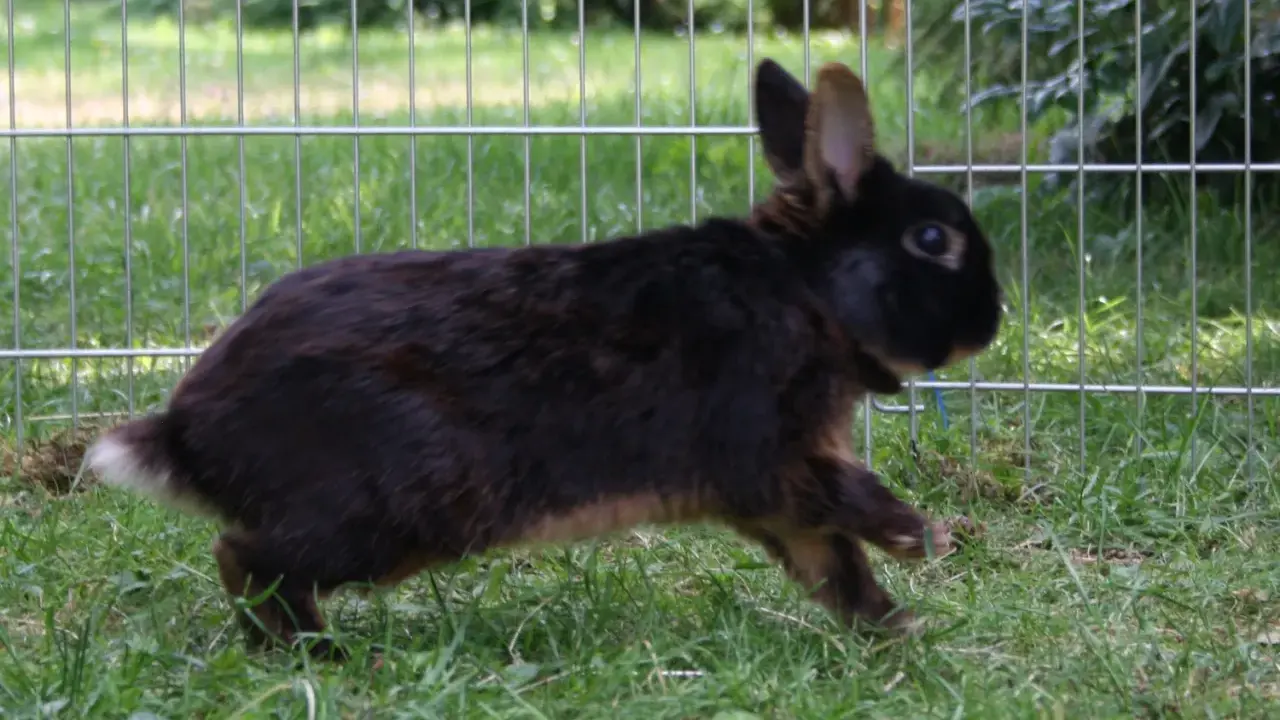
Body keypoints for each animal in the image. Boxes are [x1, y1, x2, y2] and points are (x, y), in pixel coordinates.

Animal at [84, 57, 1003, 661]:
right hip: (400, 507)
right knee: (246, 558)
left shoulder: (782, 500)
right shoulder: (768, 456)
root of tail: (187, 430)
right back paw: (323, 659)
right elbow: (849, 507)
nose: (993, 321)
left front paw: (899, 634)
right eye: (932, 240)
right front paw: (923, 536)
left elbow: (834, 567)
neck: (806, 290)